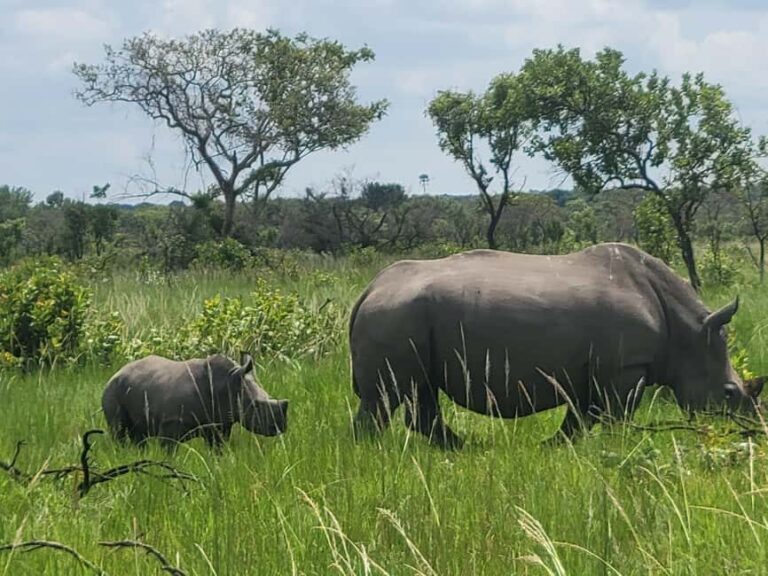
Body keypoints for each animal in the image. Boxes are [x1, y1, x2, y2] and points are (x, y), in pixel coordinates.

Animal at [102, 353, 288, 448]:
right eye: (256, 405)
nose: (281, 428)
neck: (228, 382)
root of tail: (116, 372)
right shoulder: (171, 423)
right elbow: (168, 448)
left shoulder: (220, 422)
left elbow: (218, 448)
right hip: (112, 390)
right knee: (119, 430)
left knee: (139, 435)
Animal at [349, 243, 757, 448]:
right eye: (729, 393)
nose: (752, 429)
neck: (689, 333)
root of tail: (369, 289)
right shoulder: (625, 366)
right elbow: (615, 417)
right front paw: (618, 449)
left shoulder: (592, 369)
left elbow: (581, 416)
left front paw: (555, 446)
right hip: (396, 315)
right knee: (387, 396)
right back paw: (371, 453)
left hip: (409, 317)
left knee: (421, 390)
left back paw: (462, 449)